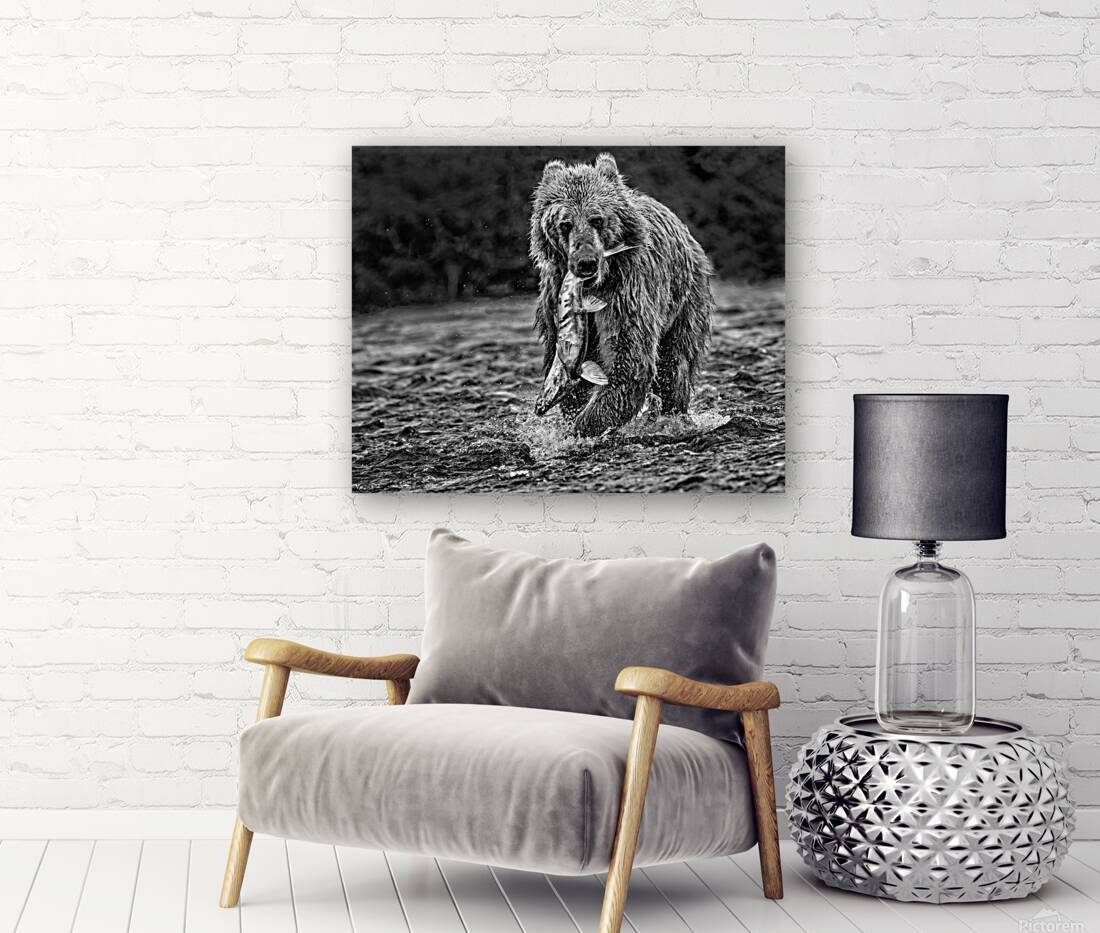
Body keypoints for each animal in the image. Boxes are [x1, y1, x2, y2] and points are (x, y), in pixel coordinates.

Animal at [528, 152, 715, 437]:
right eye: (565, 224)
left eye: (597, 219)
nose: (586, 262)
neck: (593, 286)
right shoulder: (553, 299)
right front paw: (572, 416)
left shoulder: (625, 291)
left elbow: (628, 358)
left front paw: (584, 426)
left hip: (686, 298)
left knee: (674, 364)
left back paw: (673, 413)